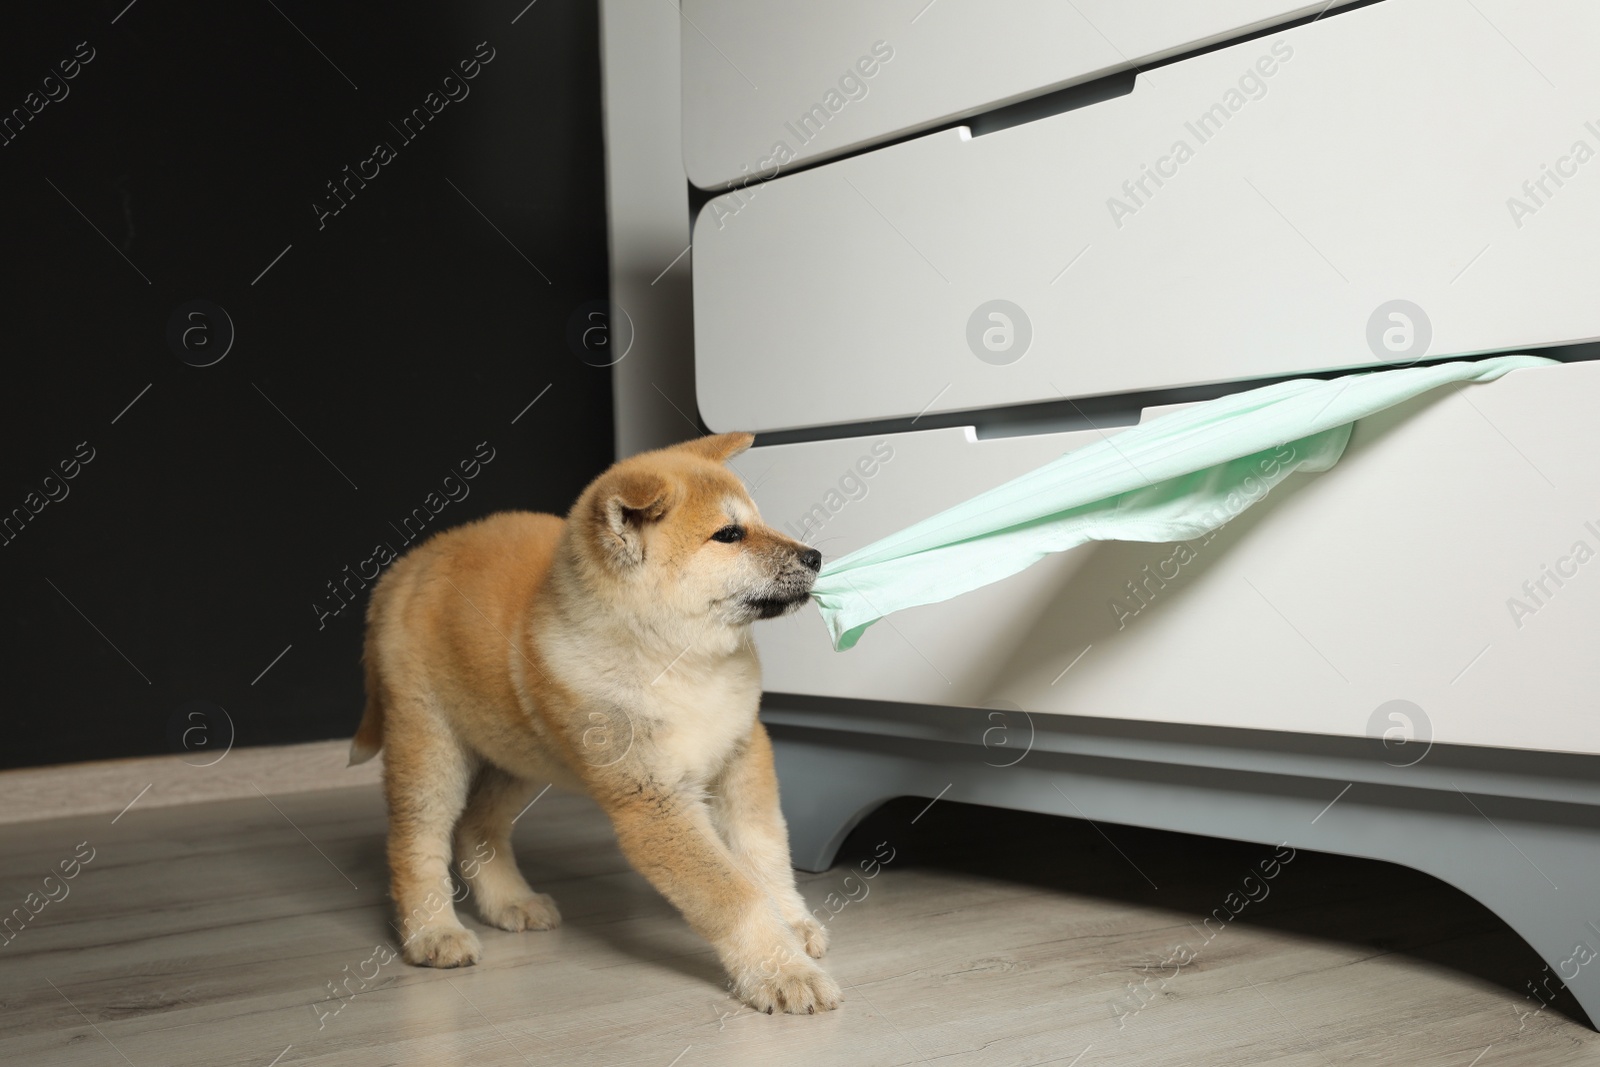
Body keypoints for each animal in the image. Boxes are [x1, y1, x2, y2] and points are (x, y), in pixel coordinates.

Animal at [347, 428, 838, 1017]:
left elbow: (763, 852)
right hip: (430, 747)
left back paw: (510, 902)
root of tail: (404, 570)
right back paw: (432, 932)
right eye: (728, 535)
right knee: (417, 840)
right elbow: (732, 892)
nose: (816, 555)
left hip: (521, 753)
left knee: (477, 827)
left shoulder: (742, 751)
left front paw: (792, 922)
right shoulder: (654, 803)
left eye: (757, 522)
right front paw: (782, 970)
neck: (679, 662)